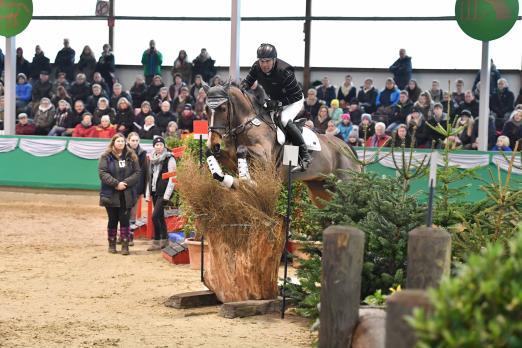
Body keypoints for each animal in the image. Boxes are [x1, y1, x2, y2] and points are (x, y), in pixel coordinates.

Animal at [205, 83, 360, 207]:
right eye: (206, 109)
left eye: (223, 108)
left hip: (346, 185)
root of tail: (348, 148)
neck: (247, 124)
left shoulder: (264, 158)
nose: (214, 143)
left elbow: (241, 150)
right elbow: (212, 156)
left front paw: (246, 179)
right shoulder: (230, 159)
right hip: (320, 188)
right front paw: (222, 175)